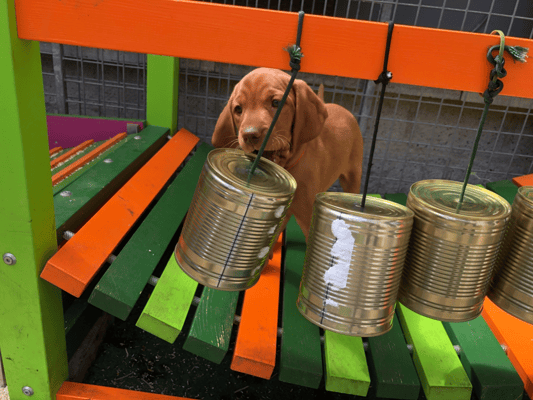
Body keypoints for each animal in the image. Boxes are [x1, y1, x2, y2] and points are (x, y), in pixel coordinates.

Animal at [212, 67, 364, 241]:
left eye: (276, 103)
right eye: (238, 109)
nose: (250, 135)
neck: (290, 166)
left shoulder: (309, 219)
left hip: (353, 175)